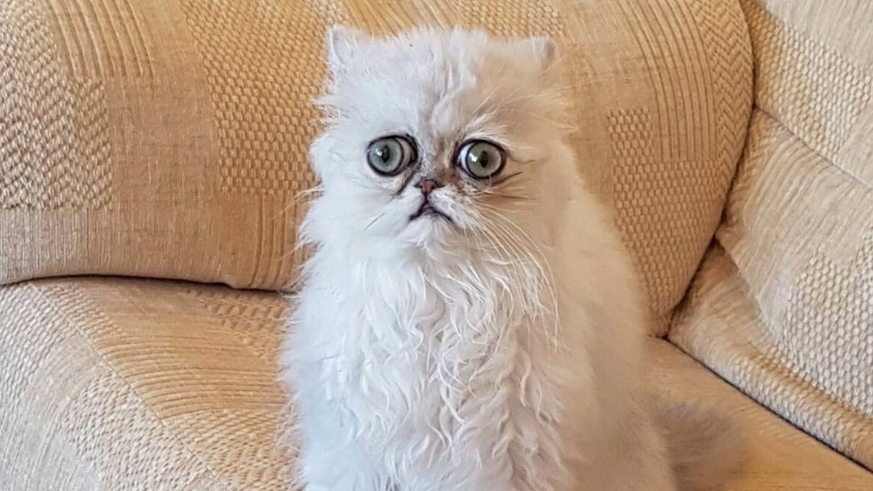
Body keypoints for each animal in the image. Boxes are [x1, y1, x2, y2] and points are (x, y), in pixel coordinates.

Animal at [283, 26, 740, 491]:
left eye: (481, 159)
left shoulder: (507, 451)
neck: (441, 291)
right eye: (385, 156)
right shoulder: (362, 450)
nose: (428, 185)